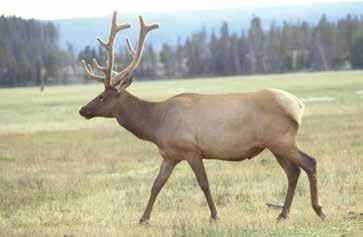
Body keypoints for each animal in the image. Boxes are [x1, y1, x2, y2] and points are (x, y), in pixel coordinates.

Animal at [80, 12, 328, 224]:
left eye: (101, 96)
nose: (83, 110)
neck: (156, 126)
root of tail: (298, 104)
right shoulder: (170, 155)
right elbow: (156, 184)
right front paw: (143, 219)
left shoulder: (191, 149)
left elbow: (204, 184)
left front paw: (214, 215)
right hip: (275, 145)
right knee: (293, 172)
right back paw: (283, 214)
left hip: (282, 139)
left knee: (309, 162)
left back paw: (318, 209)